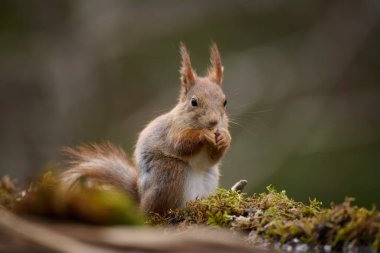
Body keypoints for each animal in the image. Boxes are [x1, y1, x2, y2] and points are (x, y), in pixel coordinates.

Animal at [60, 43, 230, 213]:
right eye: (193, 102)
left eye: (225, 101)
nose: (214, 122)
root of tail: (141, 201)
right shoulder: (172, 131)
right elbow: (181, 144)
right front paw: (203, 134)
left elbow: (214, 158)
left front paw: (225, 137)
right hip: (170, 172)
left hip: (209, 176)